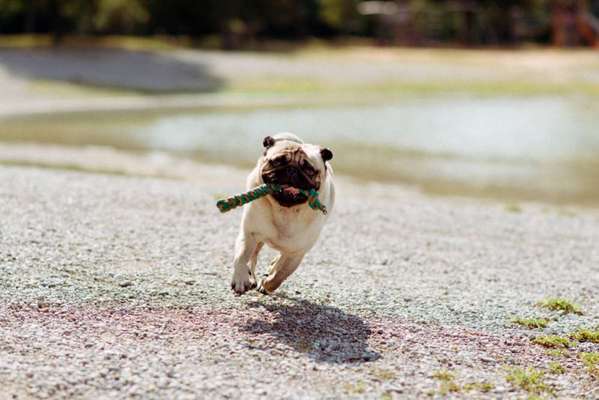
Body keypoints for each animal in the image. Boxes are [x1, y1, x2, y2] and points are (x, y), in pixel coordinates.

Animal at [231, 133, 336, 296]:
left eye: (308, 168)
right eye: (277, 161)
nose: (291, 170)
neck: (286, 210)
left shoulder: (296, 252)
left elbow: (281, 274)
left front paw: (267, 284)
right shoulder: (249, 234)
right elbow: (241, 257)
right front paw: (241, 279)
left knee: (279, 261)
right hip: (257, 241)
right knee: (253, 258)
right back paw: (252, 278)